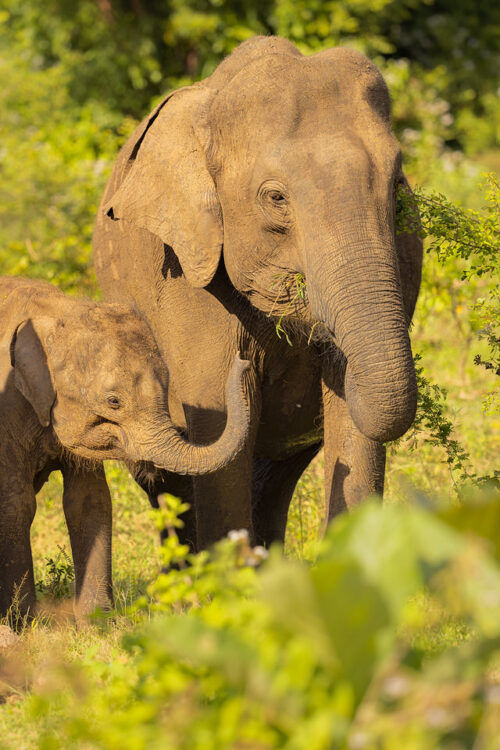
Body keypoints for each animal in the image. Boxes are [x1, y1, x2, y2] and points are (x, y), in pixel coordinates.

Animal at [0, 278, 250, 624]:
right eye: (114, 401)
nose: (244, 358)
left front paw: (97, 625)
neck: (58, 310)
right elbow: (16, 503)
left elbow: (89, 501)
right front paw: (24, 623)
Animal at [92, 36, 420, 552]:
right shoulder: (189, 270)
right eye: (276, 198)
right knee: (166, 481)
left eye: (397, 184)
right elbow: (219, 412)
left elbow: (355, 416)